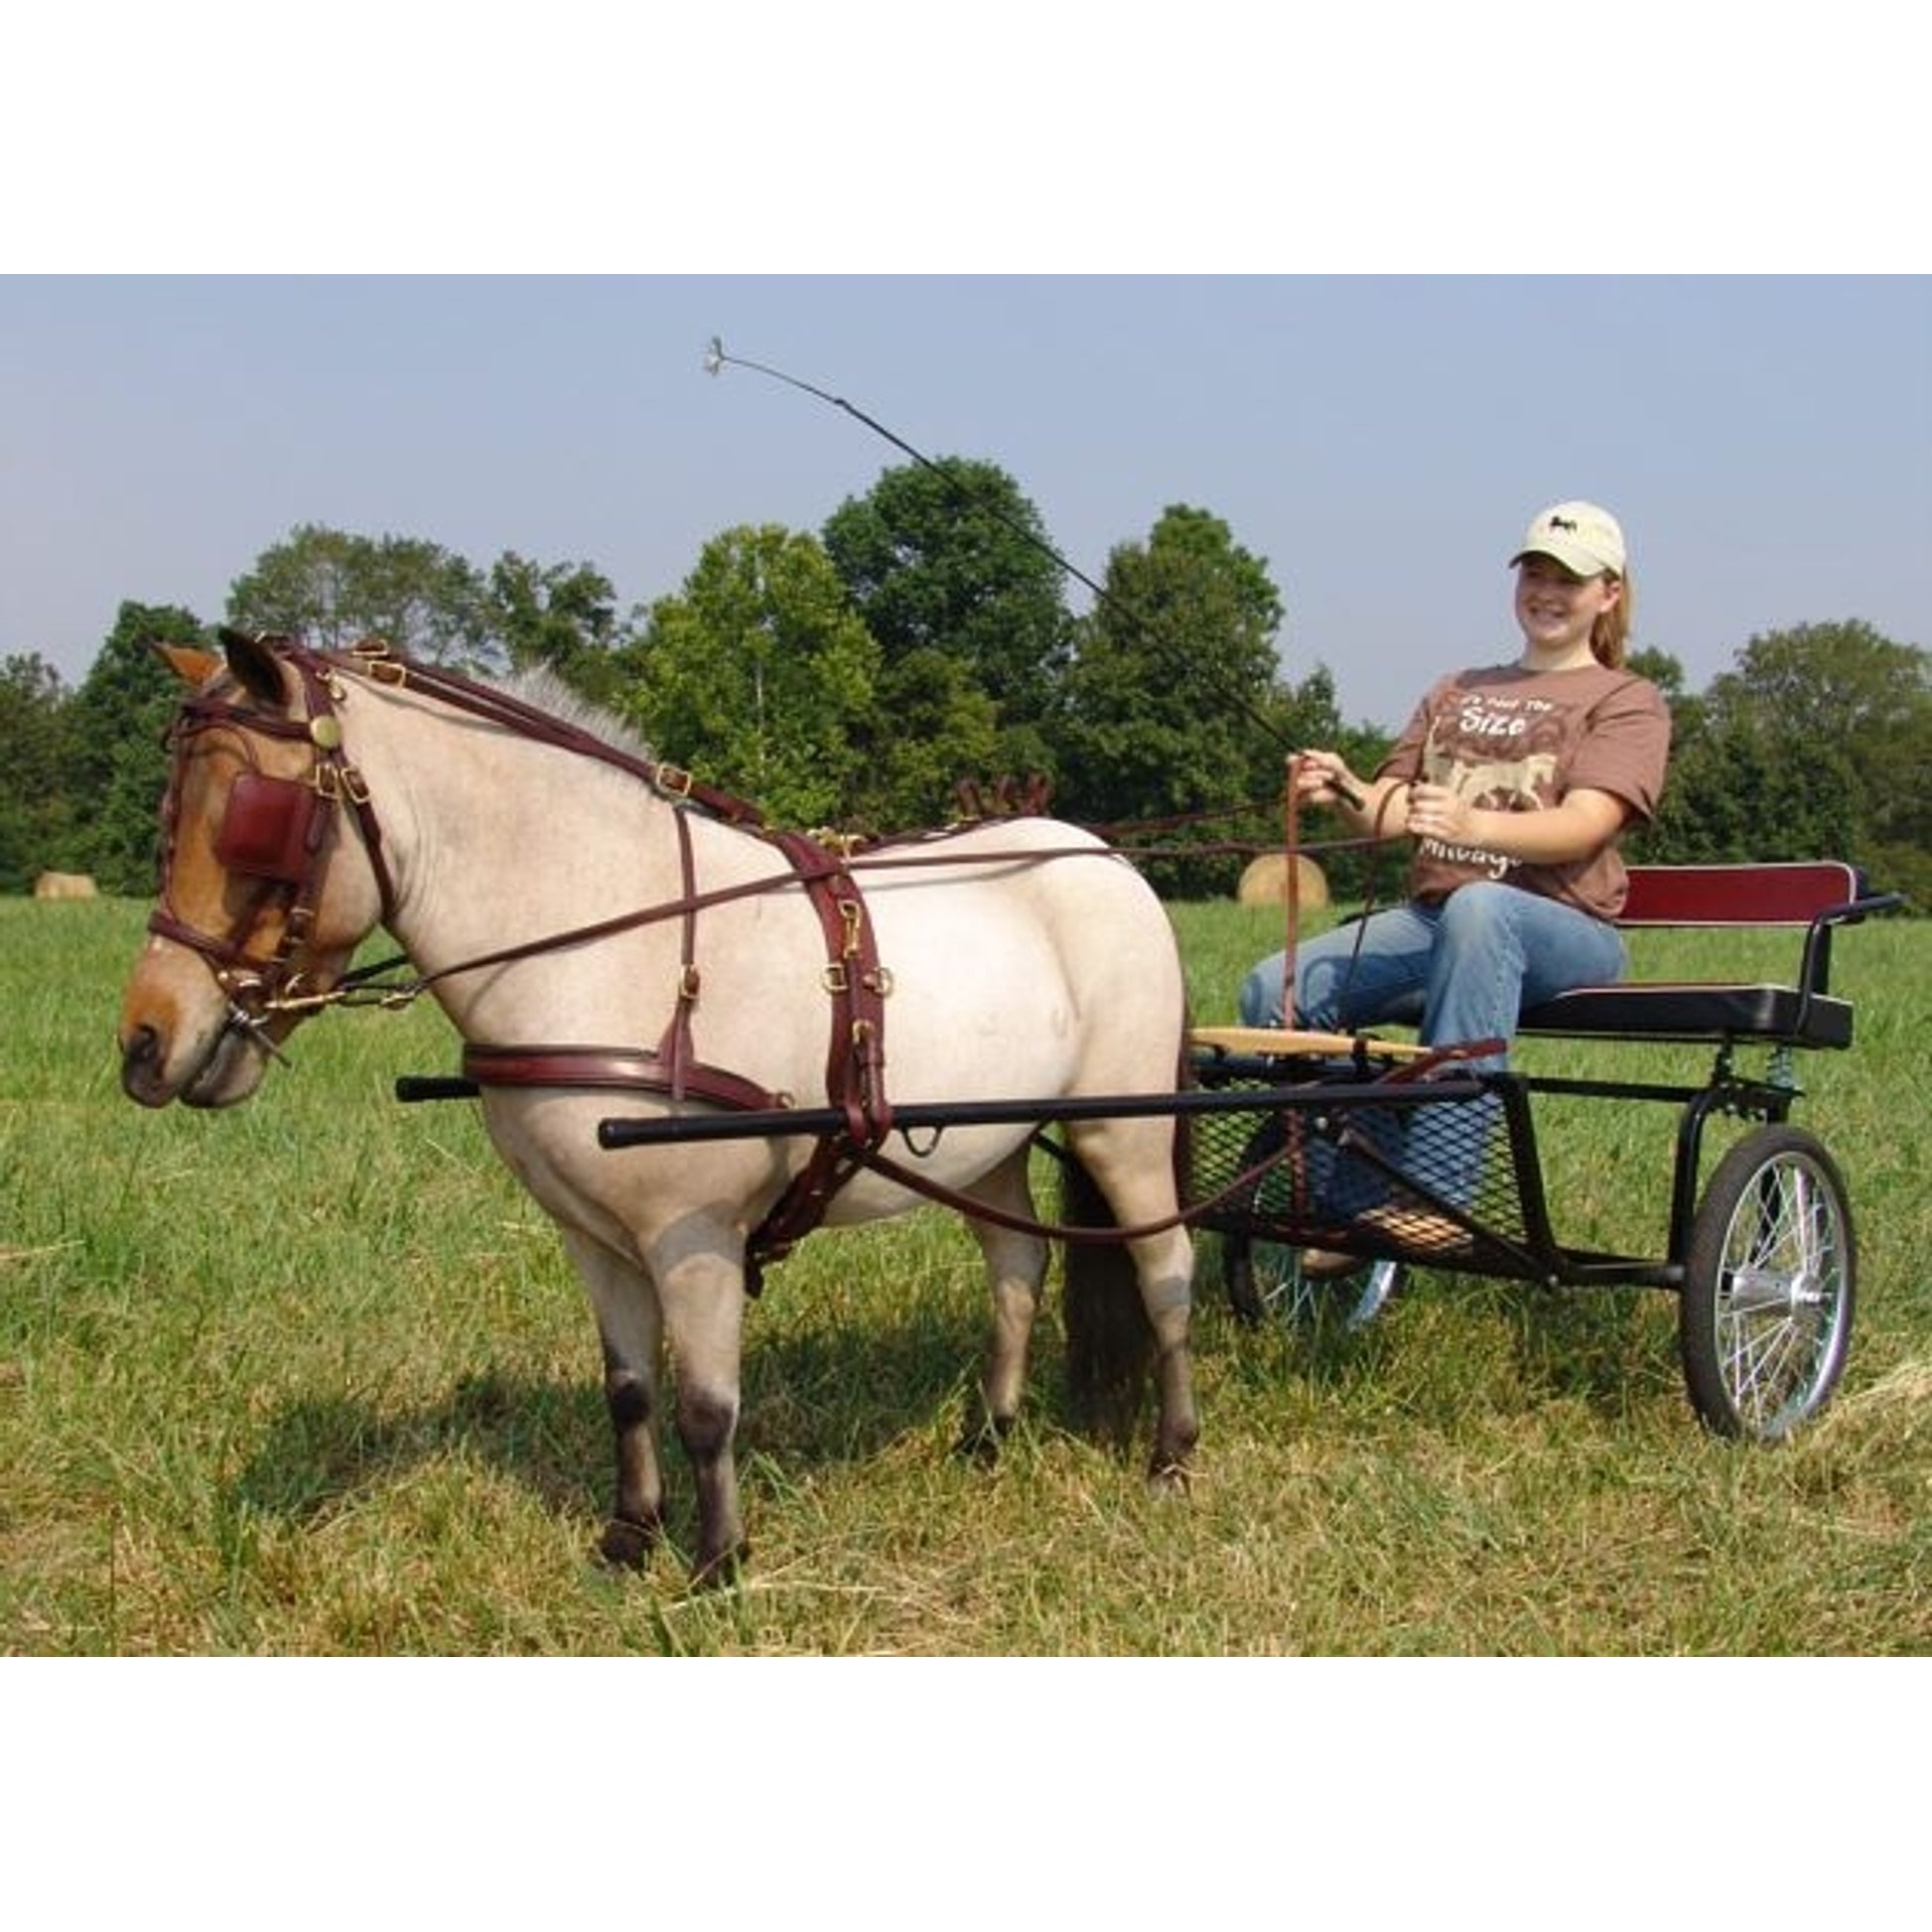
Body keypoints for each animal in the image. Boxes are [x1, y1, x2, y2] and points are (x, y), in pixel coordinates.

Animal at [117, 630, 1200, 1584]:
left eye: (250, 819)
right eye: (168, 815)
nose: (143, 1044)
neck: (604, 936)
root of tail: (1097, 854)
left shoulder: (695, 1233)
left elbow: (706, 1407)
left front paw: (717, 1563)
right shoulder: (593, 1235)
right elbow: (630, 1390)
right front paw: (629, 1538)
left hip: (1123, 1128)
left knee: (1165, 1273)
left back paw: (1171, 1455)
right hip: (994, 1141)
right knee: (1016, 1266)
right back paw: (987, 1437)